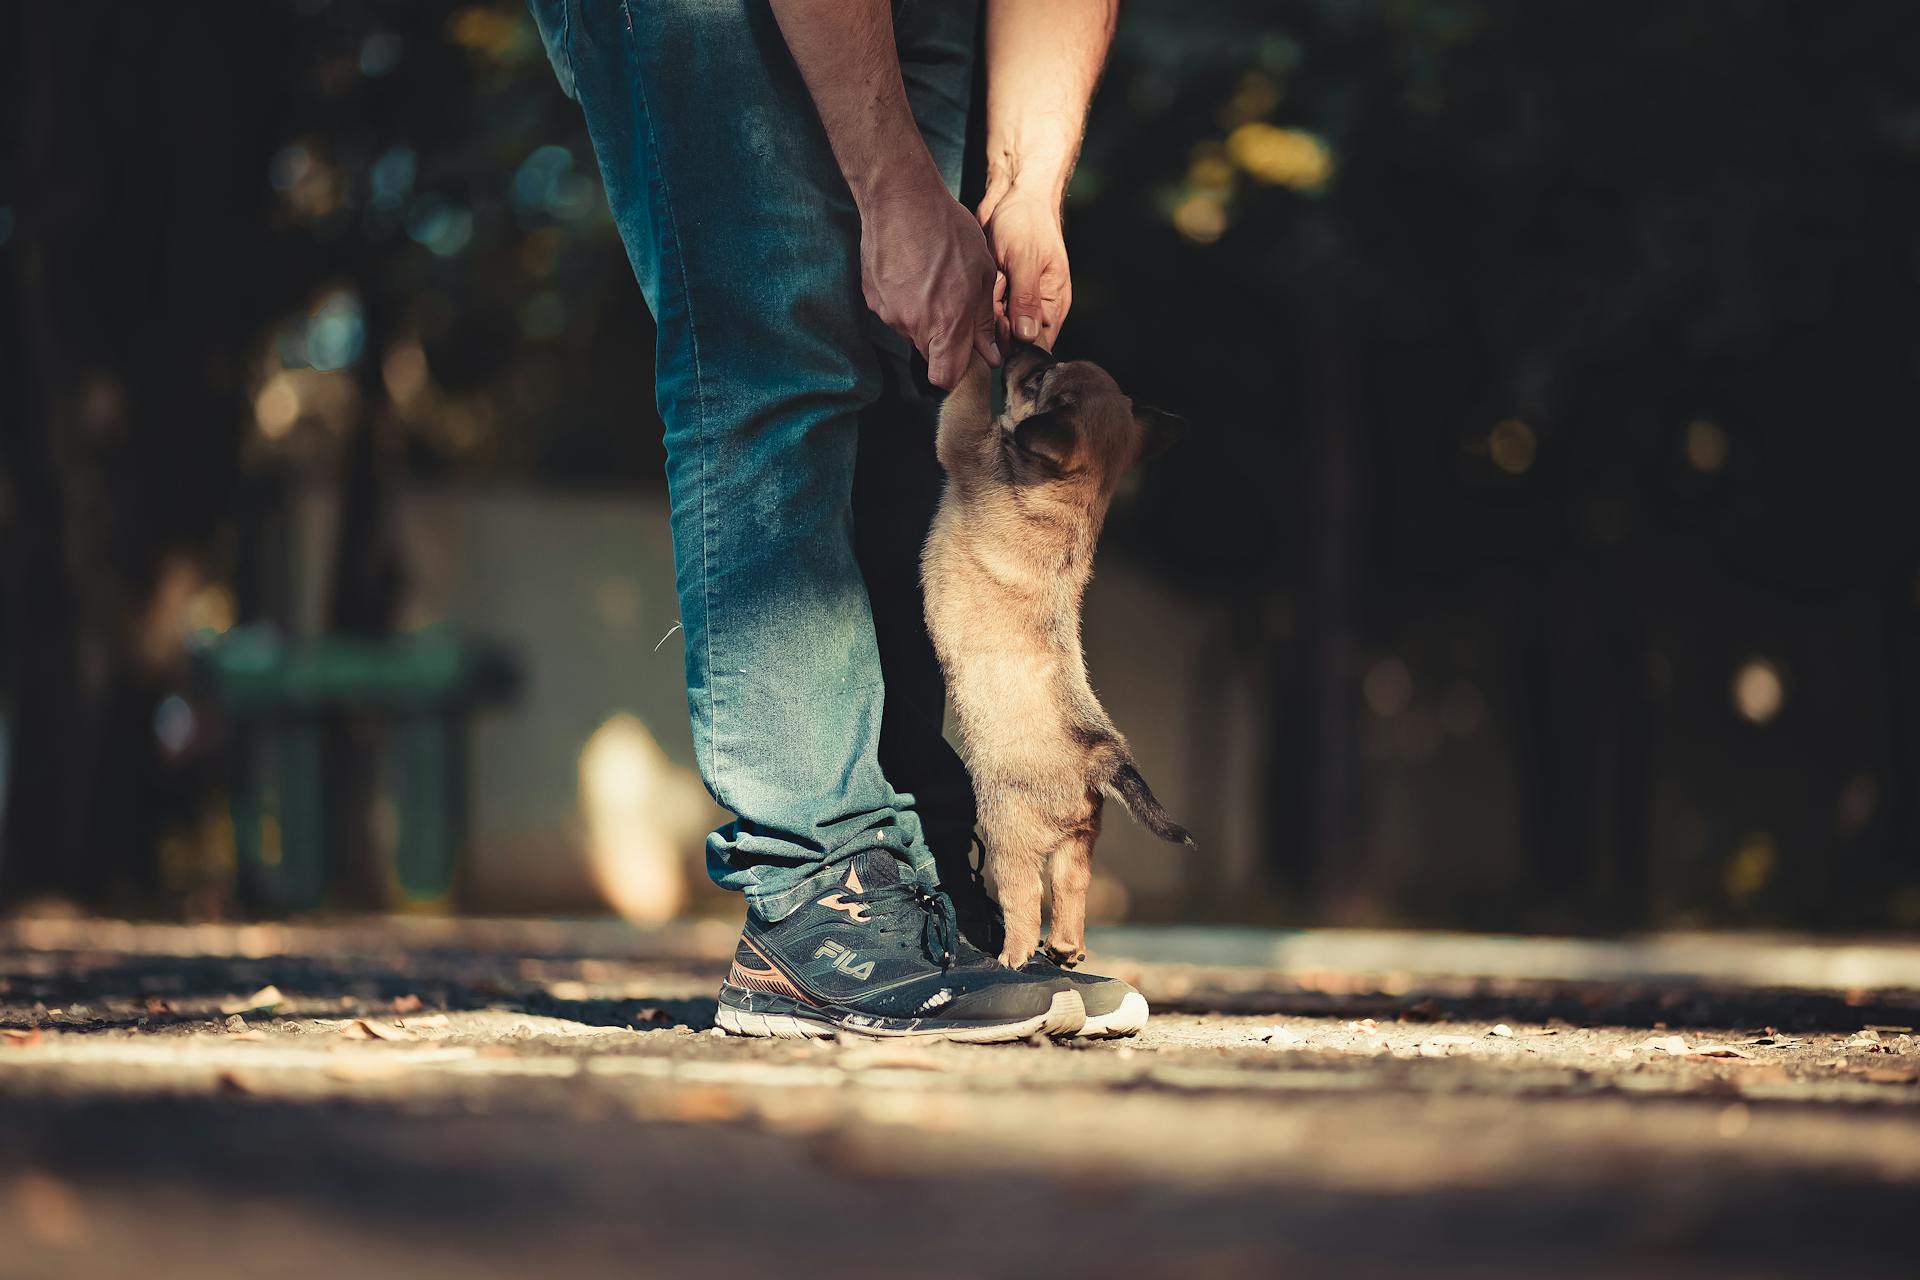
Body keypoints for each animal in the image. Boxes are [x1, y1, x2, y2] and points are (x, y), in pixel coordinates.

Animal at [925, 345, 1190, 967]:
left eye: (1039, 378)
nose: (1034, 348)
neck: (1073, 498)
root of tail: (1103, 755)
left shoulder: (964, 441)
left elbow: (968, 396)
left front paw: (976, 343)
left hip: (1007, 837)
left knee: (1024, 899)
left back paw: (1013, 956)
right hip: (1078, 845)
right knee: (1071, 893)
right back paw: (1066, 950)